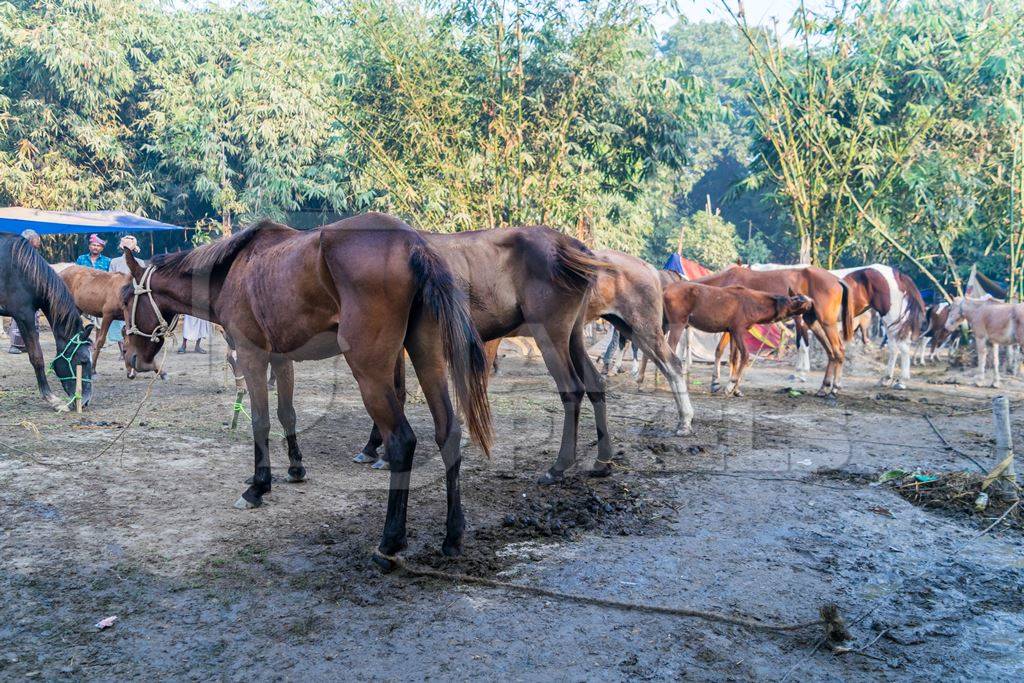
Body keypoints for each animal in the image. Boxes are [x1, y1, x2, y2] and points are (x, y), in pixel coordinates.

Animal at [0, 232, 94, 409]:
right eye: (83, 361)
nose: (84, 401)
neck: (23, 270)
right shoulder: (24, 315)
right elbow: (37, 357)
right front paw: (51, 398)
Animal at [117, 214, 493, 565]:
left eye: (125, 302)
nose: (133, 359)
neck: (234, 269)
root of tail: (411, 242)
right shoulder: (281, 360)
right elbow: (287, 414)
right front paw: (294, 469)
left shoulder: (252, 356)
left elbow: (261, 421)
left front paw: (258, 486)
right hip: (427, 355)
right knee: (448, 432)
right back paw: (453, 536)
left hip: (370, 371)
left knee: (402, 441)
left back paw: (390, 541)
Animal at [356, 228, 610, 485]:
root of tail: (573, 246)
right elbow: (397, 391)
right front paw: (376, 449)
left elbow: (395, 392)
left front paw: (379, 451)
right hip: (574, 335)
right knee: (595, 382)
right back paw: (603, 462)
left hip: (550, 336)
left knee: (572, 389)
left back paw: (559, 466)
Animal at [696, 266, 856, 395]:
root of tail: (837, 279)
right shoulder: (733, 329)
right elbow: (729, 354)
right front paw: (728, 385)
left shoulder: (734, 328)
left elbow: (726, 353)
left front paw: (722, 384)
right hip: (813, 322)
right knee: (831, 352)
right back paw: (824, 388)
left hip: (827, 323)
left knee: (838, 350)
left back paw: (834, 389)